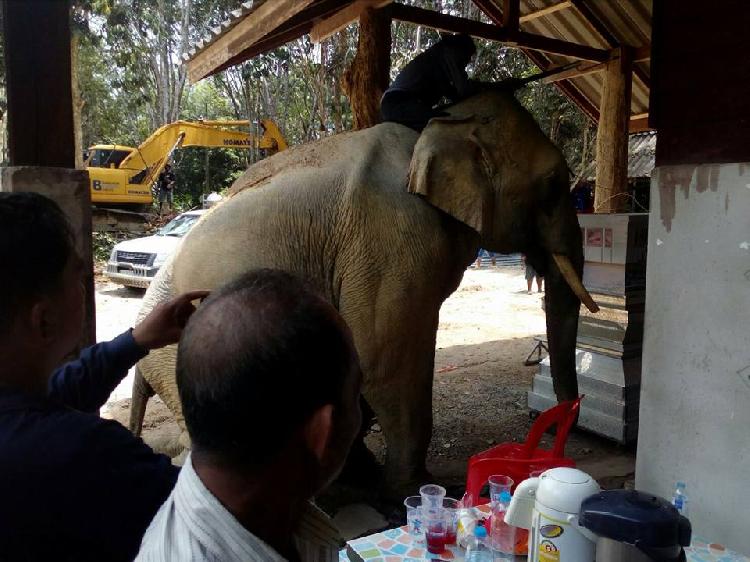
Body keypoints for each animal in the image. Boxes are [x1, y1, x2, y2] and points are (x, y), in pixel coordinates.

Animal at [129, 88, 600, 490]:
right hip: (179, 360)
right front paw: (414, 487)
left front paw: (364, 474)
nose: (566, 423)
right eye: (554, 184)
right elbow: (387, 362)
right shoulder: (392, 239)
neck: (435, 126)